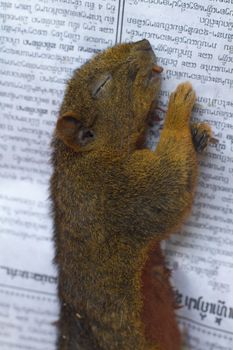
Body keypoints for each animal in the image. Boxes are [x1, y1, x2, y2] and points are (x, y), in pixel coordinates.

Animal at [49, 39, 213, 350]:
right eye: (102, 86)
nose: (145, 44)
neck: (84, 157)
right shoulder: (115, 190)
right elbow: (170, 186)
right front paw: (178, 107)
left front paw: (195, 135)